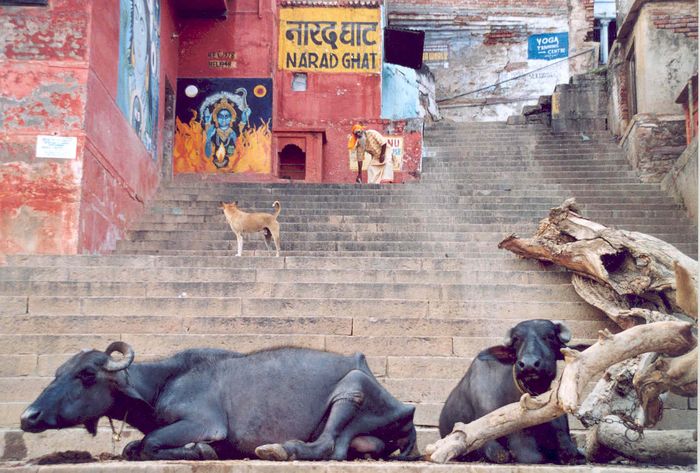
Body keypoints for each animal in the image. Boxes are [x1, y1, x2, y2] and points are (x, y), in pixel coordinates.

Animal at [20, 342, 416, 460]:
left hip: (352, 387)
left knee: (330, 446)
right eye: (58, 372)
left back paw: (281, 449)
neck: (164, 381)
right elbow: (134, 446)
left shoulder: (203, 422)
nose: (28, 416)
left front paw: (199, 450)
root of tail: (406, 409)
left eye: (87, 374)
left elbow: (149, 443)